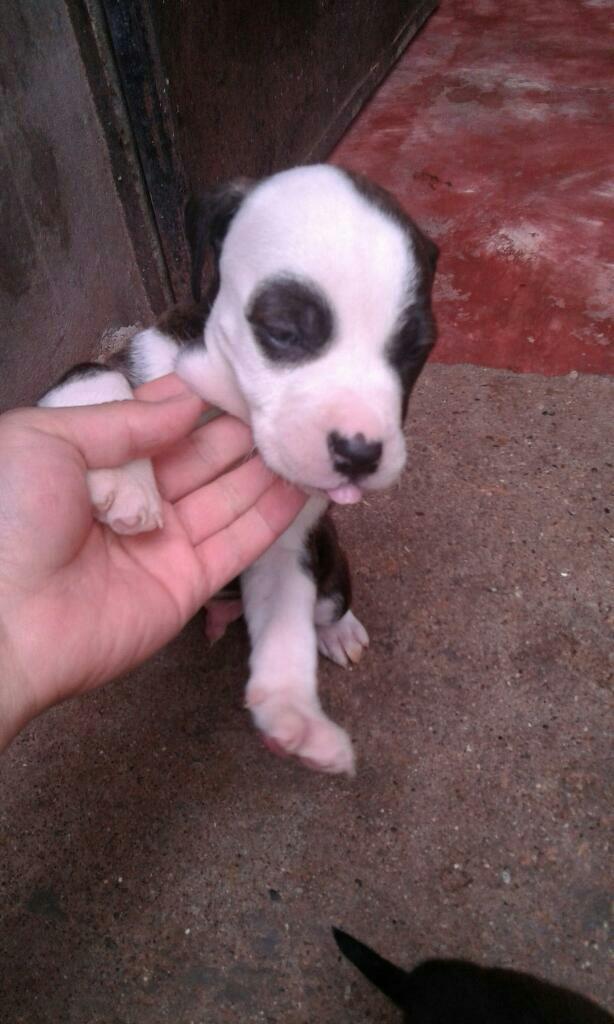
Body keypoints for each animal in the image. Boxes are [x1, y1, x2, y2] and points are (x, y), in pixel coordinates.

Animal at [40, 163, 435, 774]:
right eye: (283, 330)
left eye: (416, 349)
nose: (359, 453)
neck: (229, 403)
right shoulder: (129, 365)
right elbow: (93, 378)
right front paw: (126, 482)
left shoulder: (285, 548)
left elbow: (287, 630)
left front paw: (295, 715)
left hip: (330, 566)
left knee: (328, 605)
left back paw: (339, 630)